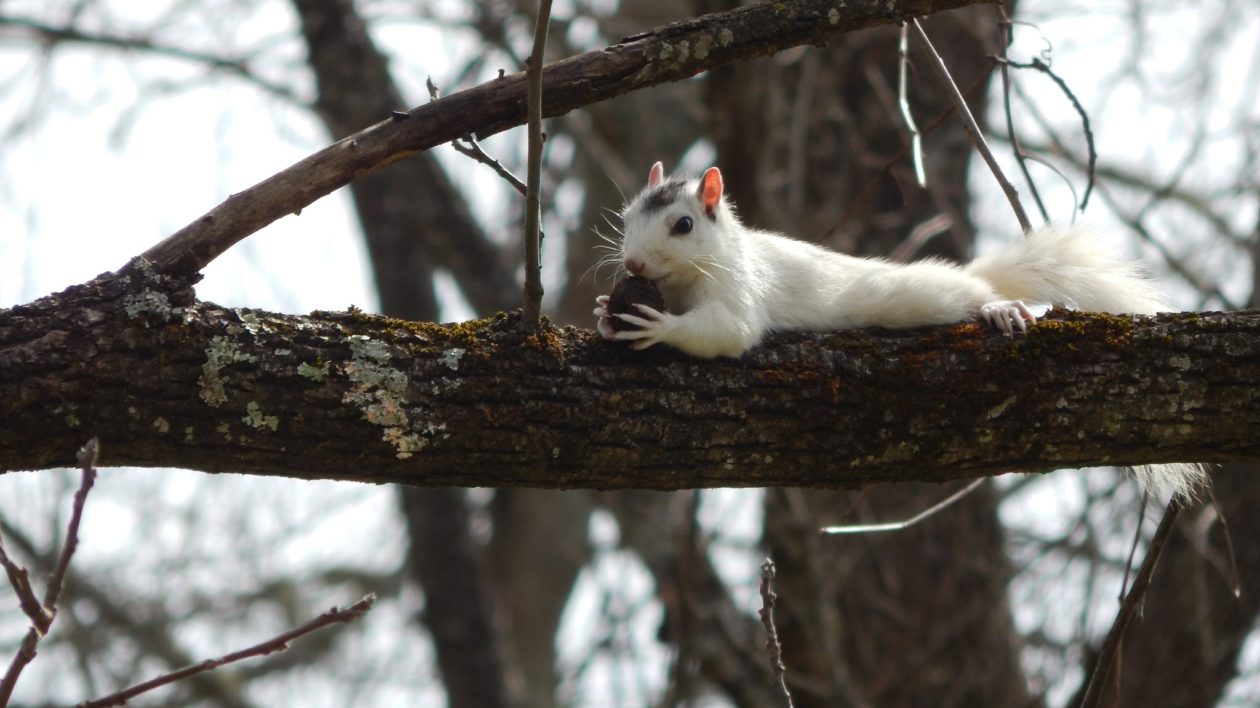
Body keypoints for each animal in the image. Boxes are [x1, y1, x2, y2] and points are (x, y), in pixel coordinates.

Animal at [594, 159, 1204, 496]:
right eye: (627, 217)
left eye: (684, 225)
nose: (635, 266)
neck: (682, 282)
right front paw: (605, 310)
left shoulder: (739, 288)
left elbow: (727, 331)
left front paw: (657, 325)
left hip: (920, 297)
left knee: (971, 294)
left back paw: (998, 308)